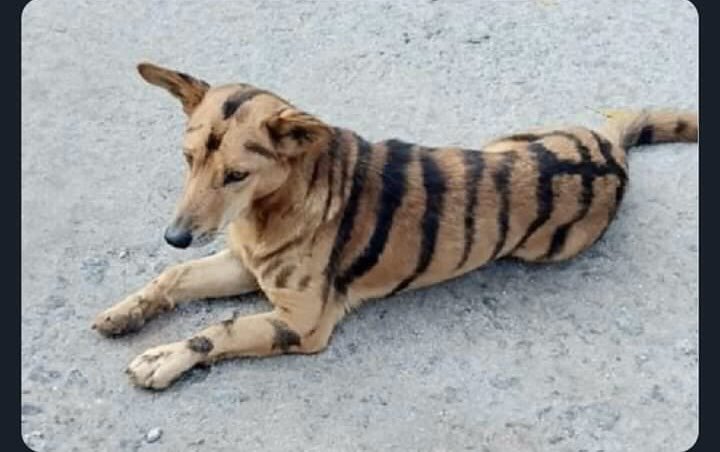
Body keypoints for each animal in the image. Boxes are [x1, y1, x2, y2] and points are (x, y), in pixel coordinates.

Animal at [91, 62, 698, 389]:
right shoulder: (242, 263)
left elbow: (216, 330)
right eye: (187, 158)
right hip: (500, 139)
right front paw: (127, 311)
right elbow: (172, 280)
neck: (270, 207)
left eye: (237, 175)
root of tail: (612, 149)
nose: (174, 237)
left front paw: (164, 357)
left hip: (544, 243)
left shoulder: (302, 321)